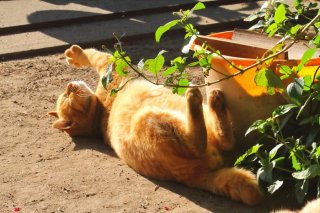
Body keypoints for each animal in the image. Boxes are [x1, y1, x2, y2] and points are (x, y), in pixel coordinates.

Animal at [47, 44, 262, 205]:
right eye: (67, 97)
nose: (69, 86)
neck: (99, 114)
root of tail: (197, 178)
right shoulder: (111, 68)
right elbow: (95, 55)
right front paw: (75, 55)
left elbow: (96, 56)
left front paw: (73, 56)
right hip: (152, 119)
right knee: (200, 143)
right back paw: (194, 96)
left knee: (224, 139)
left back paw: (215, 101)